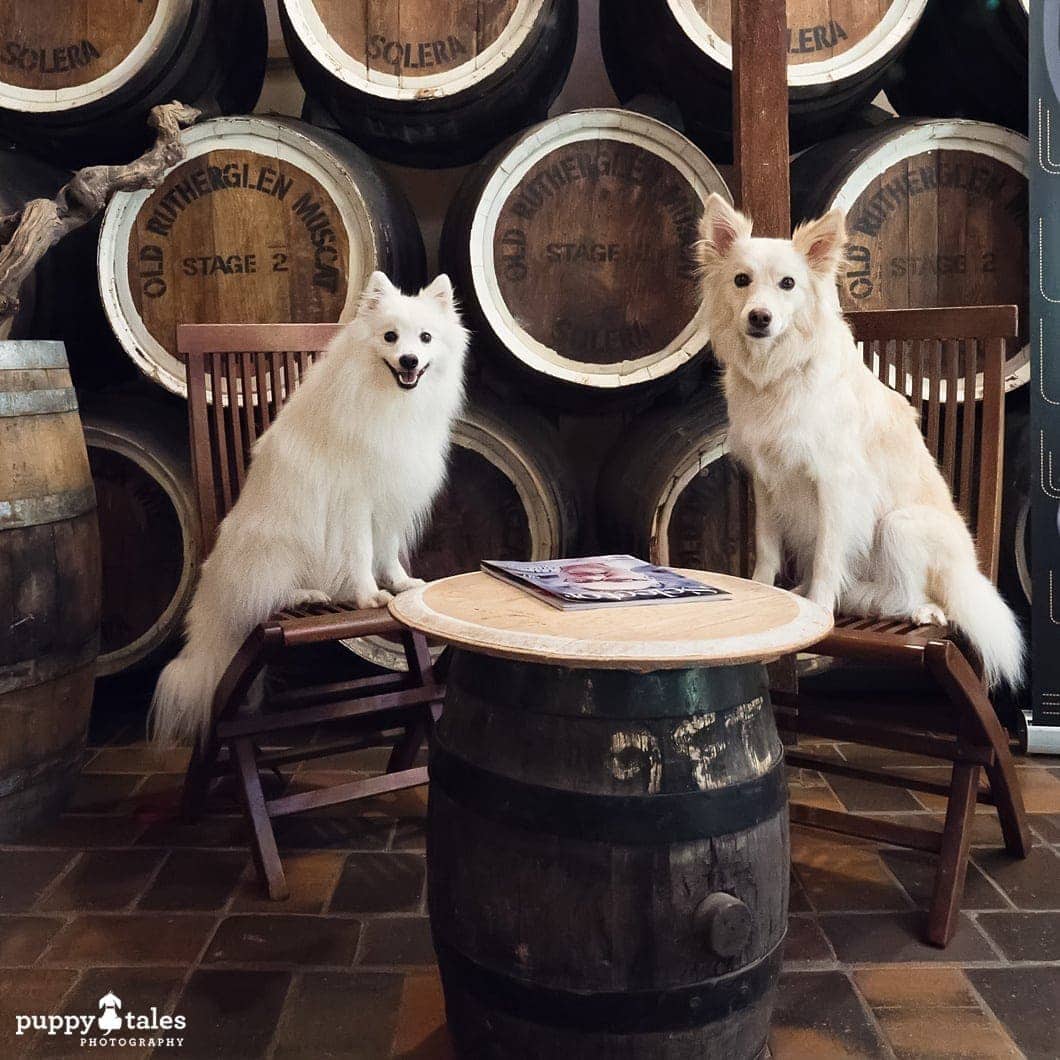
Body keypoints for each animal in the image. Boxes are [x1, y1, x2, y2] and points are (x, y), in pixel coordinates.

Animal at [151, 273, 466, 746]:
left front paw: (400, 584)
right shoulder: (356, 503)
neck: (390, 403)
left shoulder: (388, 497)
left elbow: (388, 553)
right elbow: (361, 555)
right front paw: (369, 595)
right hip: (277, 549)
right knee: (264, 597)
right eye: (390, 337)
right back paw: (307, 594)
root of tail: (212, 596)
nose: (409, 360)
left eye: (425, 338)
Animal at [699, 192, 1021, 686]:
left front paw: (818, 606)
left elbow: (828, 557)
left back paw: (901, 606)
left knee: (914, 597)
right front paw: (765, 592)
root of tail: (971, 574)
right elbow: (767, 551)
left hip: (899, 526)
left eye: (788, 284)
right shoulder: (767, 482)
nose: (759, 317)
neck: (780, 372)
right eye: (741, 280)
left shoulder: (836, 484)